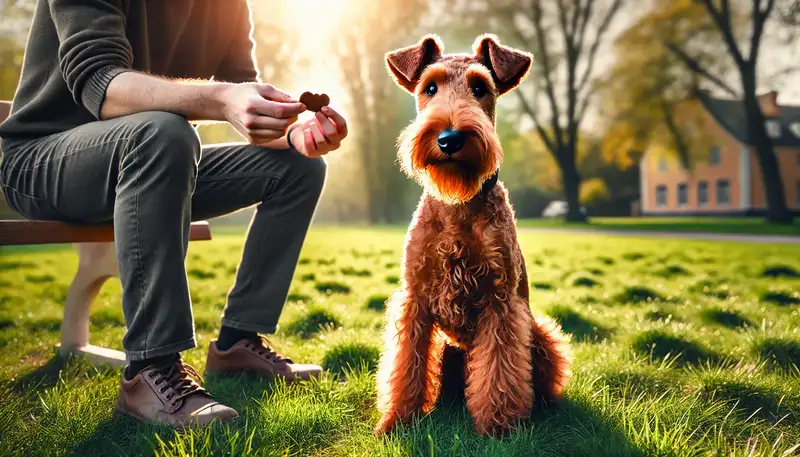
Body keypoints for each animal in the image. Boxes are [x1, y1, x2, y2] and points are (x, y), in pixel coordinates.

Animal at [376, 34, 576, 434]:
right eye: (429, 88)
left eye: (480, 88)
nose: (449, 138)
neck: (457, 206)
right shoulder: (414, 301)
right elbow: (406, 365)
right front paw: (397, 420)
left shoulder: (500, 303)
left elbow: (499, 371)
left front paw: (498, 427)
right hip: (447, 346)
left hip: (540, 333)